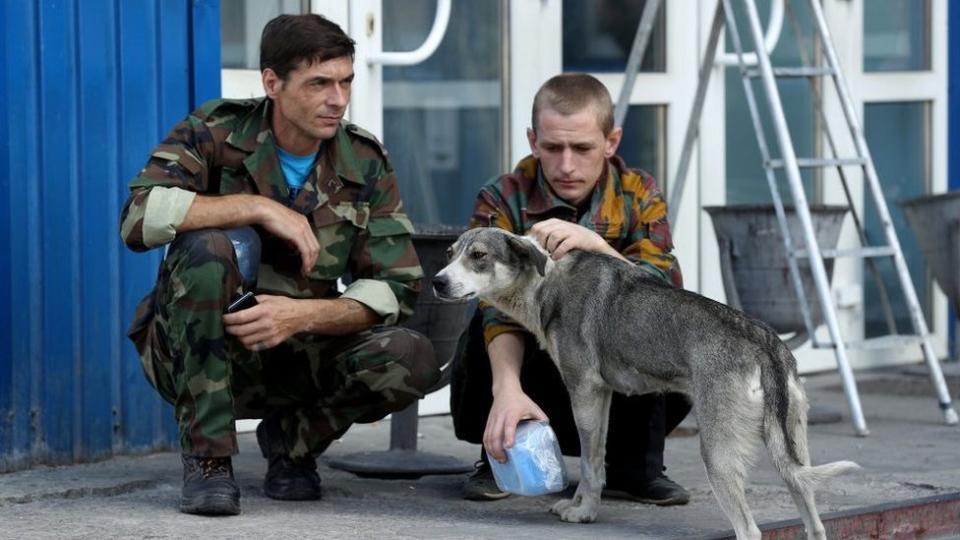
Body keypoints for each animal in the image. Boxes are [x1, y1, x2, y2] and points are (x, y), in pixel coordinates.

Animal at [432, 228, 860, 540]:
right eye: (450, 253)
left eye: (479, 256)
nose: (437, 282)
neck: (544, 279)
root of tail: (765, 343)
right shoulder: (602, 396)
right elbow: (595, 460)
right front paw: (582, 507)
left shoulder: (584, 392)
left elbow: (589, 464)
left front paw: (583, 512)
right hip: (792, 452)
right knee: (814, 520)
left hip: (719, 454)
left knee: (749, 530)